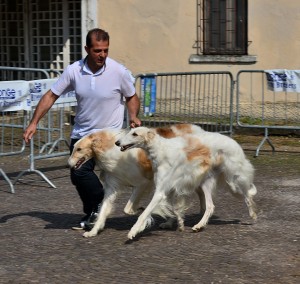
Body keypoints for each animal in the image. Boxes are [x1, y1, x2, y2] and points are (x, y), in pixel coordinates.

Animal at [67, 124, 204, 237]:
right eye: (74, 148)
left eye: (79, 149)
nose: (69, 164)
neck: (110, 148)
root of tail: (199, 129)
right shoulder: (112, 186)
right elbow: (104, 210)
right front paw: (93, 231)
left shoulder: (142, 184)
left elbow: (127, 210)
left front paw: (140, 213)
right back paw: (173, 222)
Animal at [116, 126, 256, 240]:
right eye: (130, 131)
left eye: (135, 134)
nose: (117, 143)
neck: (161, 150)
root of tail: (233, 141)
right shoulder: (170, 188)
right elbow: (174, 208)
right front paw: (178, 222)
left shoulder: (160, 192)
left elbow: (144, 214)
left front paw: (133, 232)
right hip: (206, 182)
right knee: (210, 206)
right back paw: (199, 225)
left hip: (235, 177)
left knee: (248, 196)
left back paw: (253, 214)